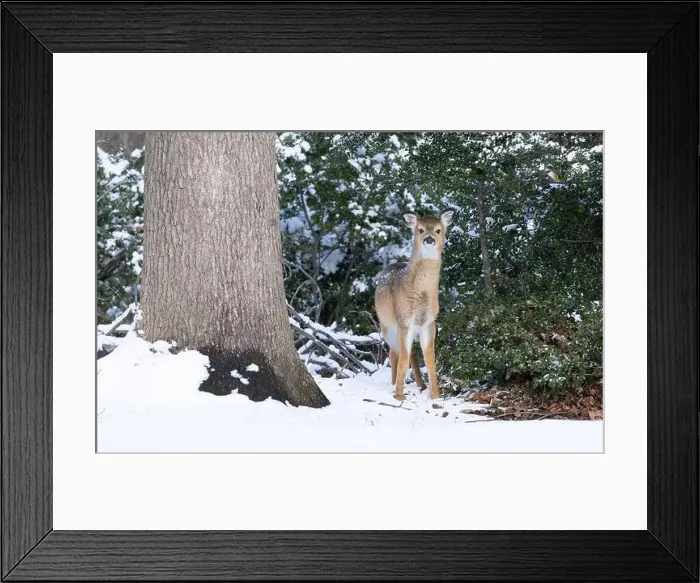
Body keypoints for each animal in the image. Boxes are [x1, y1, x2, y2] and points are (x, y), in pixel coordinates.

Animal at [374, 210, 454, 401]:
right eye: (420, 229)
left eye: (438, 230)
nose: (429, 239)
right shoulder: (404, 320)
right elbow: (403, 359)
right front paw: (399, 396)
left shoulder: (429, 322)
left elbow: (430, 360)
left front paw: (435, 396)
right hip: (387, 324)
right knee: (394, 352)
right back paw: (394, 384)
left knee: (413, 353)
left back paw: (421, 385)